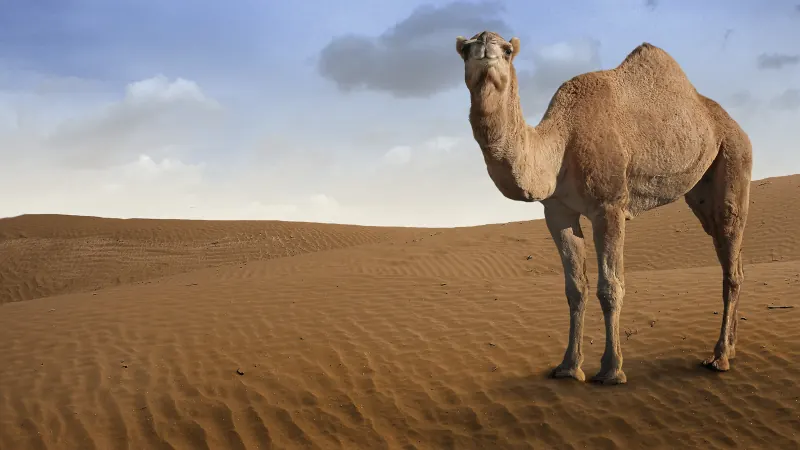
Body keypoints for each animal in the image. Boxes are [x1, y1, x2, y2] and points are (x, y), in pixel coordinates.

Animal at [455, 31, 752, 385]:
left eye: (507, 50)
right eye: (465, 49)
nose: (486, 43)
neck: (561, 144)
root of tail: (733, 124)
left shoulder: (609, 206)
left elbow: (610, 287)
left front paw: (611, 370)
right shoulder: (557, 212)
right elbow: (575, 288)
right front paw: (568, 367)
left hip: (734, 157)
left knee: (731, 252)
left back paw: (720, 357)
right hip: (701, 189)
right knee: (727, 253)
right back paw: (731, 347)